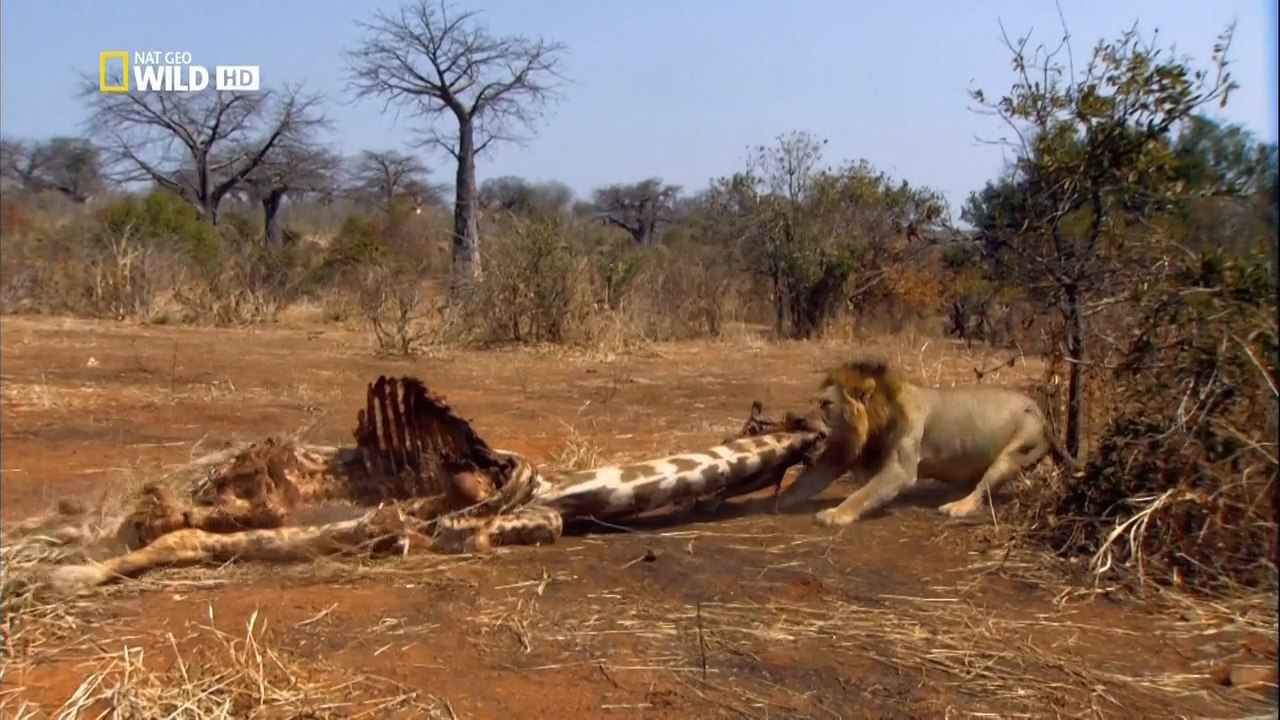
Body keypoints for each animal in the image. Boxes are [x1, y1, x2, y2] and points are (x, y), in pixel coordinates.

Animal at [757, 356, 1080, 525]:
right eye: (813, 402)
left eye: (826, 404)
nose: (798, 419)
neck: (868, 427)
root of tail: (1045, 417)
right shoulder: (838, 455)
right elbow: (804, 484)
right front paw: (773, 501)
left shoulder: (901, 469)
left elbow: (863, 494)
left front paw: (835, 513)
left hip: (1013, 454)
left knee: (982, 491)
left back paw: (956, 507)